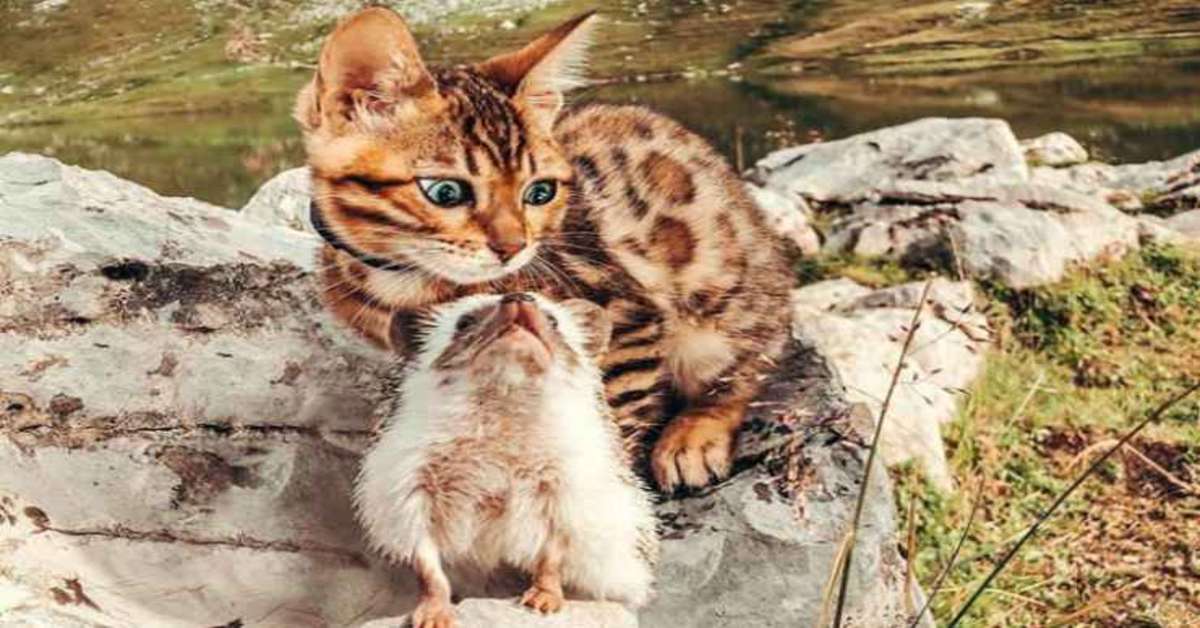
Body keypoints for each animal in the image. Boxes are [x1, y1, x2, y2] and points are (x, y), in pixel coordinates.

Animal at [295, 7, 792, 494]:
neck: (403, 277)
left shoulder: (624, 320)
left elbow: (603, 433)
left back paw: (692, 436)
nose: (513, 247)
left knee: (749, 366)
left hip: (717, 306)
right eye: (445, 192)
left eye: (540, 192)